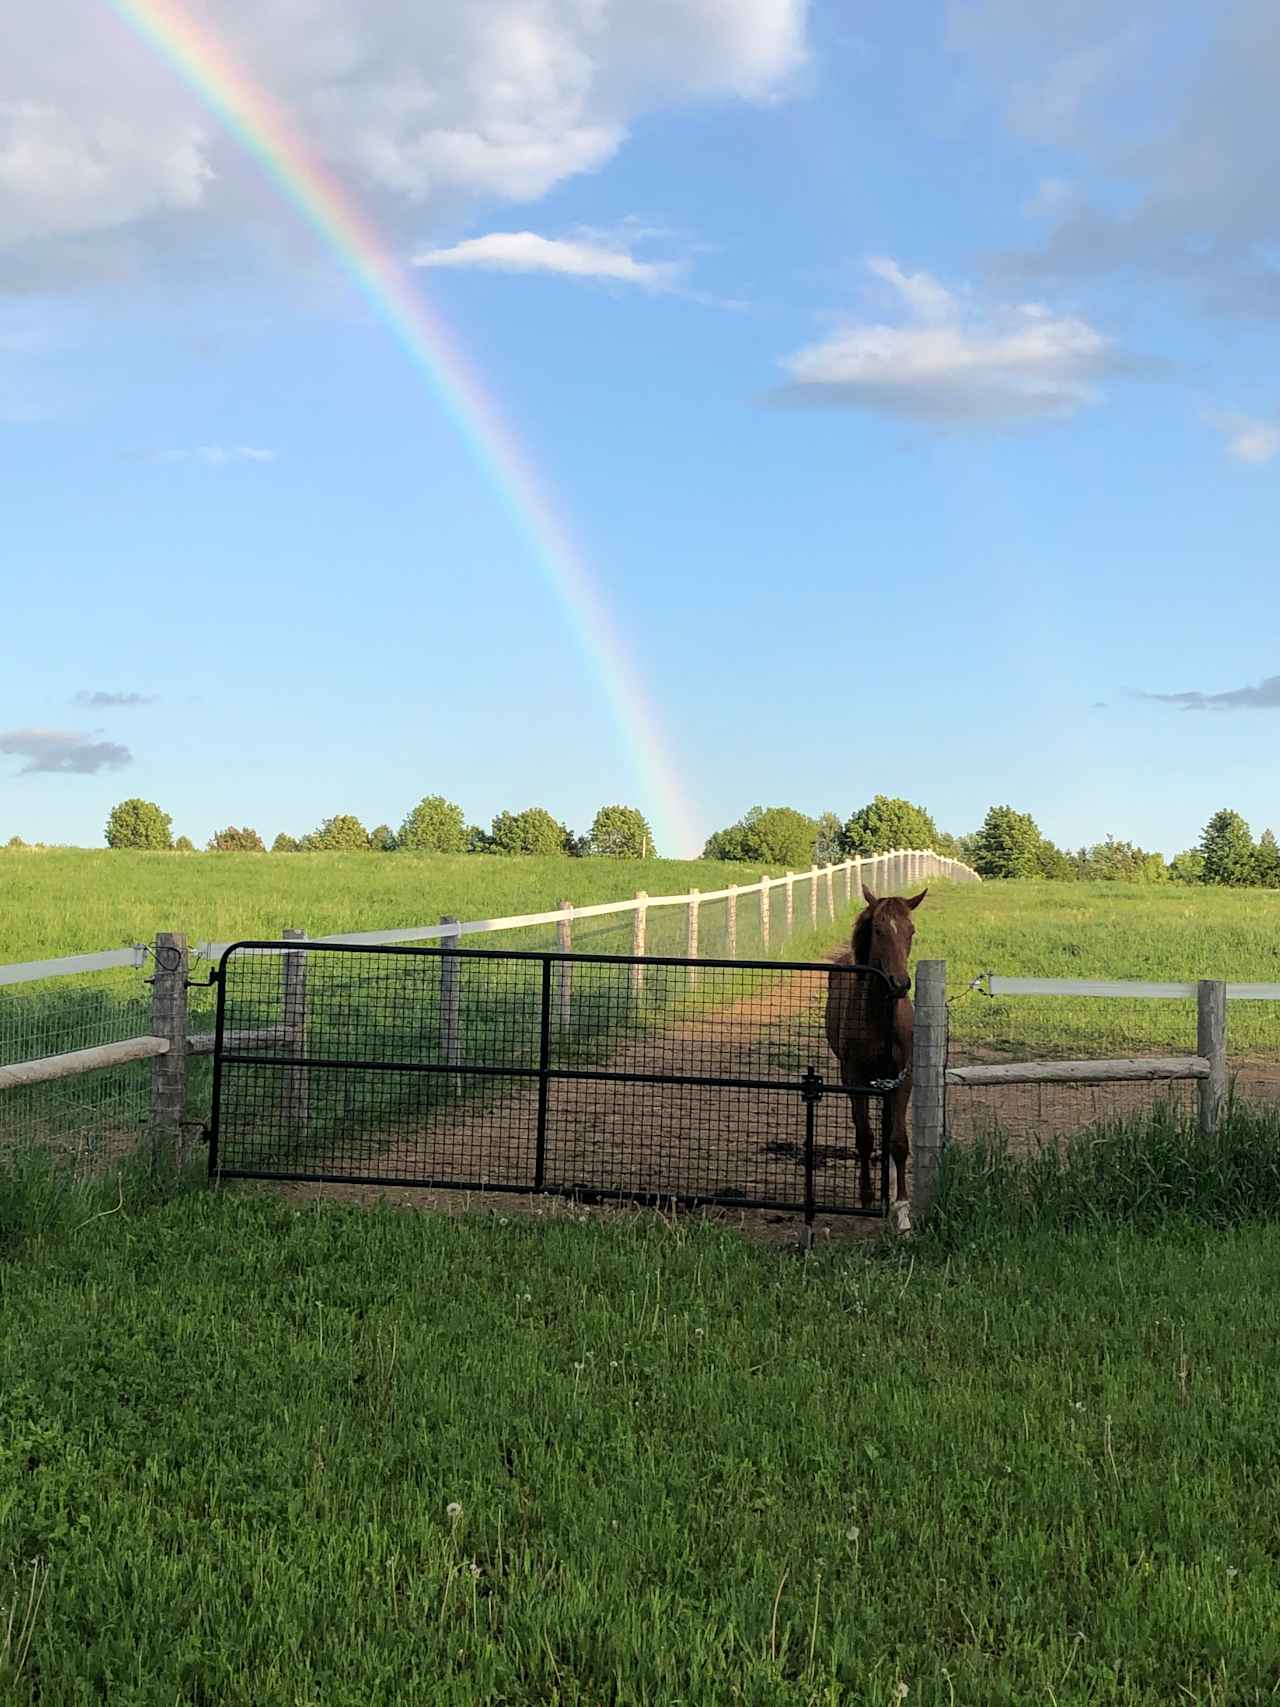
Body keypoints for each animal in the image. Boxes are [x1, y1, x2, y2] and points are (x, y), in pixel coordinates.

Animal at [826, 887, 928, 1208]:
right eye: (878, 930)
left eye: (911, 930)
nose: (900, 983)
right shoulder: (854, 1077)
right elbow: (864, 1137)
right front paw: (867, 1196)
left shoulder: (903, 1077)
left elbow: (898, 1140)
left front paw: (902, 1201)